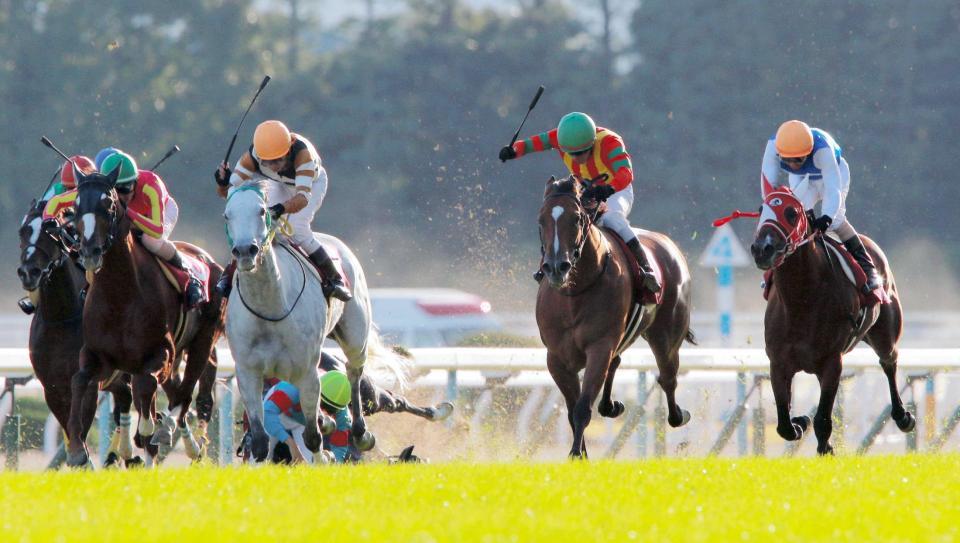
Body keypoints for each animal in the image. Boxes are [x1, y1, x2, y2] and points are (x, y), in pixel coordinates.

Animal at [16, 199, 142, 467]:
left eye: (49, 234)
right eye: (23, 232)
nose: (28, 272)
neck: (61, 318)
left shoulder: (89, 381)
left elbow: (81, 427)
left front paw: (80, 456)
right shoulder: (51, 385)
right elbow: (67, 425)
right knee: (124, 397)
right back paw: (118, 455)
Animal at [66, 166, 225, 467]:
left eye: (108, 204)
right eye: (76, 206)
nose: (90, 252)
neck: (120, 294)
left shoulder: (161, 352)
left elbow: (145, 387)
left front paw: (150, 428)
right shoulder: (98, 355)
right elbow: (79, 380)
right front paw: (77, 448)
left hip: (203, 339)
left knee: (184, 394)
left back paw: (176, 436)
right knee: (175, 392)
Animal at [223, 181, 403, 462]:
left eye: (261, 210)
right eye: (227, 215)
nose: (244, 251)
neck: (270, 307)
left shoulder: (306, 369)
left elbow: (312, 436)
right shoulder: (248, 371)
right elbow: (261, 442)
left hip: (355, 336)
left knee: (354, 371)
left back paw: (361, 432)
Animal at [536, 176, 694, 459]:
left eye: (576, 218)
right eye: (540, 220)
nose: (555, 267)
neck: (575, 291)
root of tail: (668, 244)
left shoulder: (599, 347)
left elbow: (582, 408)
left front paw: (576, 455)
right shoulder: (556, 358)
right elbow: (571, 409)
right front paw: (581, 453)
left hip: (666, 336)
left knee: (668, 377)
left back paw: (679, 414)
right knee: (619, 362)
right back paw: (610, 405)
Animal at [749, 188, 913, 454]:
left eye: (791, 213)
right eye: (761, 209)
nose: (762, 248)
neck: (801, 301)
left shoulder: (832, 361)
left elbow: (823, 419)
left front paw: (825, 447)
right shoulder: (778, 362)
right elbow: (784, 423)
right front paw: (800, 422)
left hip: (885, 334)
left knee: (889, 361)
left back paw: (903, 416)